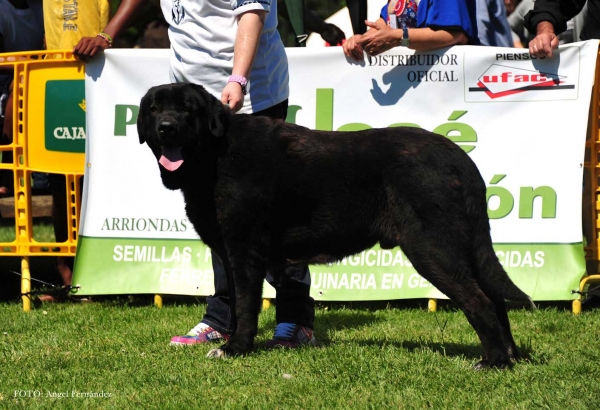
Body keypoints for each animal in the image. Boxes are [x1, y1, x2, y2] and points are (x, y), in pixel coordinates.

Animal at [138, 82, 532, 368]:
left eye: (187, 109)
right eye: (154, 109)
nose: (166, 127)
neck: (213, 157)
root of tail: (461, 158)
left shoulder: (245, 252)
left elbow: (247, 305)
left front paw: (235, 348)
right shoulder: (228, 252)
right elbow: (234, 302)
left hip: (433, 249)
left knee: (479, 301)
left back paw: (494, 362)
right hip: (461, 247)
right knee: (494, 297)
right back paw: (510, 355)